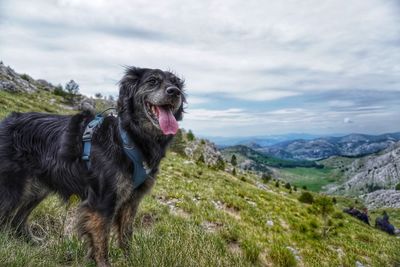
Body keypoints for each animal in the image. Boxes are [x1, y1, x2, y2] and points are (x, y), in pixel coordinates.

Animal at [0, 67, 185, 266]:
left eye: (175, 82)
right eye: (152, 81)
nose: (175, 92)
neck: (128, 138)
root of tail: (5, 122)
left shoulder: (132, 200)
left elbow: (126, 235)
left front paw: (130, 260)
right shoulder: (102, 201)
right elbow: (101, 240)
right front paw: (103, 263)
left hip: (37, 189)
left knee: (17, 219)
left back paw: (31, 241)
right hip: (11, 188)